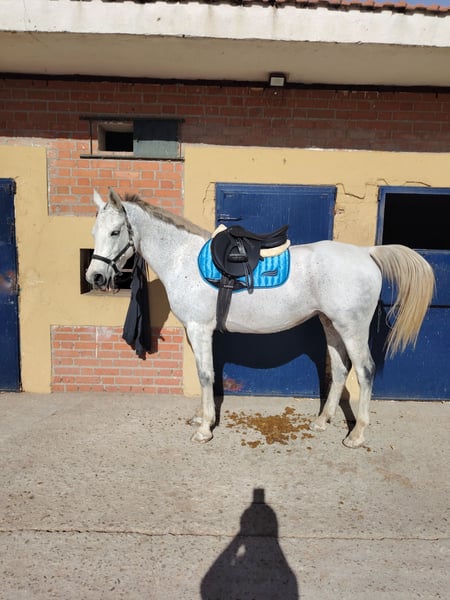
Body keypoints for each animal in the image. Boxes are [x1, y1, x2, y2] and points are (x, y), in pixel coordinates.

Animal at [86, 189, 435, 448]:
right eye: (94, 232)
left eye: (115, 231)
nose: (95, 277)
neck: (181, 258)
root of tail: (366, 253)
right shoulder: (195, 332)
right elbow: (204, 374)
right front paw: (202, 418)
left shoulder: (200, 329)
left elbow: (205, 375)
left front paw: (204, 429)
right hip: (331, 325)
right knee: (339, 370)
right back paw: (322, 421)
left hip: (353, 328)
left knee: (364, 371)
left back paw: (357, 435)